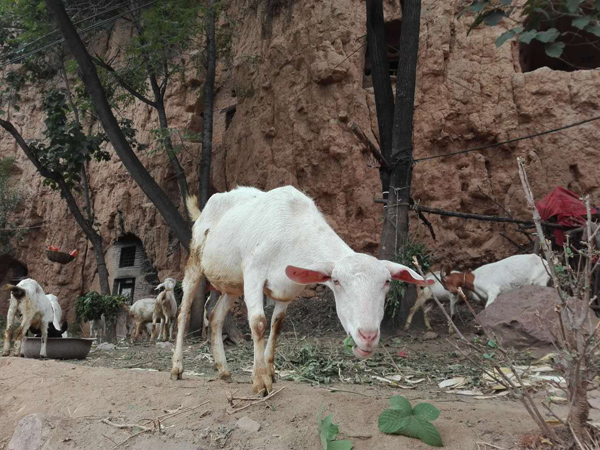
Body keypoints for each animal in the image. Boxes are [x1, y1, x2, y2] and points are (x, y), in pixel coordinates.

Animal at [170, 185, 432, 392]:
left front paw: (270, 372)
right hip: (195, 261)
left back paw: (223, 370)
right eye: (337, 281)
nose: (367, 336)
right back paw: (177, 367)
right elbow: (258, 323)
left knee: (215, 316)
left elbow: (277, 325)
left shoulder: (288, 288)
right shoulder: (254, 273)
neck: (293, 231)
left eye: (386, 282)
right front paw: (260, 381)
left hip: (233, 283)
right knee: (184, 312)